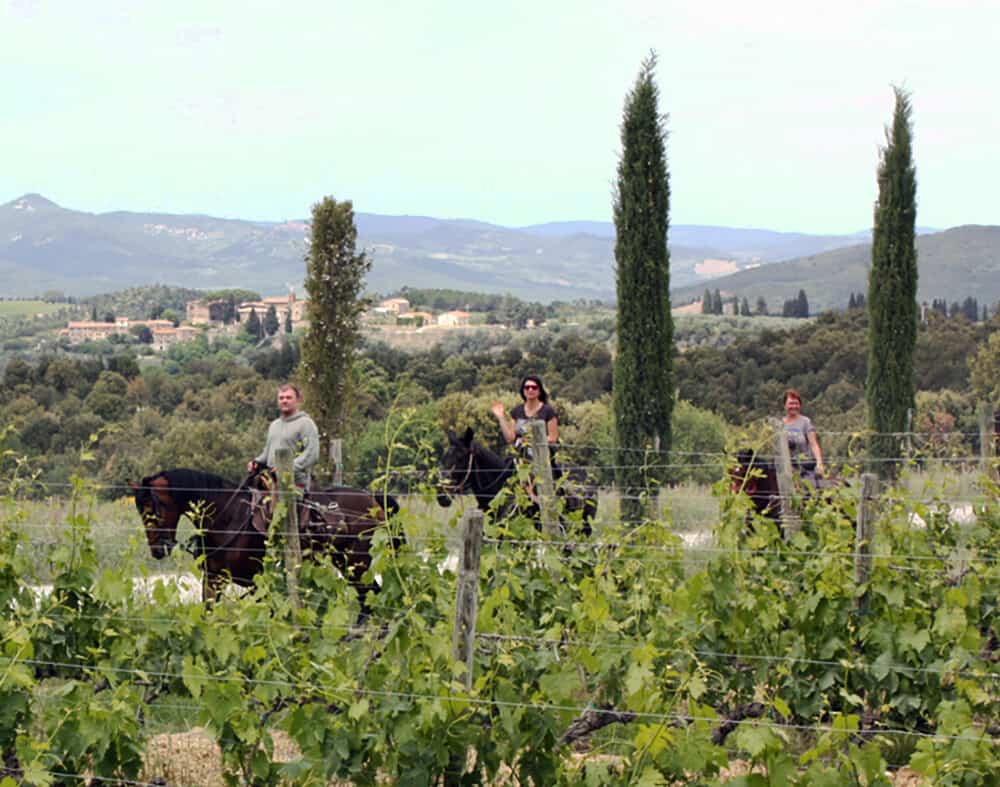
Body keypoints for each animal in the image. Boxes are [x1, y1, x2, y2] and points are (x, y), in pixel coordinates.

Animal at [131, 468, 400, 608]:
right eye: (139, 510)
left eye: (155, 507)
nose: (157, 550)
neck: (228, 518)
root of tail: (372, 499)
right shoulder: (213, 580)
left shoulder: (256, 582)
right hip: (345, 563)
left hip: (357, 561)